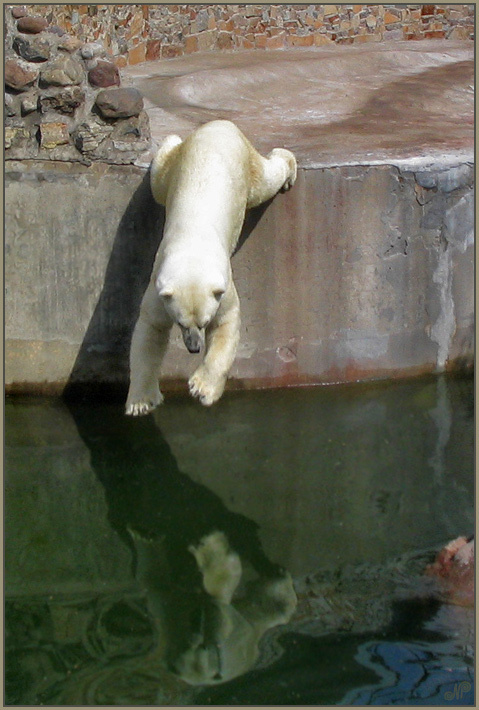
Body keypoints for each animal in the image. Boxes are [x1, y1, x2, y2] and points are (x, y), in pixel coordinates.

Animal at [126, 120, 297, 415]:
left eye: (204, 322)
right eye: (180, 323)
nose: (194, 348)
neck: (193, 247)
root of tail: (220, 125)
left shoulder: (223, 287)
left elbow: (227, 322)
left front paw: (202, 388)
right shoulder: (159, 283)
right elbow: (151, 329)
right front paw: (140, 402)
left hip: (246, 166)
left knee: (266, 181)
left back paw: (288, 168)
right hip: (178, 165)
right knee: (160, 179)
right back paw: (169, 139)